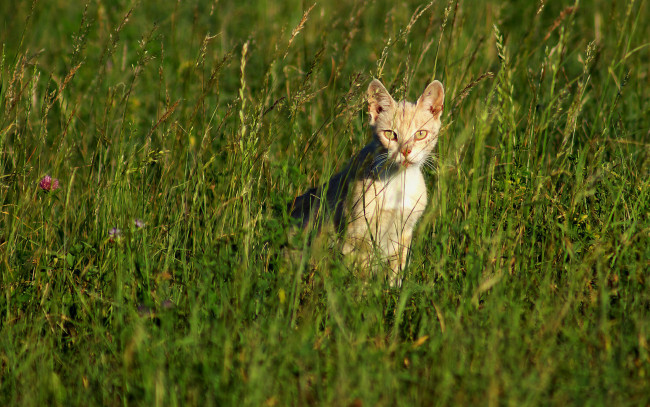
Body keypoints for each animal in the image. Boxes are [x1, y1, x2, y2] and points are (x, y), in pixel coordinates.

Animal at [290, 77, 446, 286]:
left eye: (421, 134)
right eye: (390, 134)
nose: (405, 151)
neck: (399, 181)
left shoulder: (404, 231)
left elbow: (396, 270)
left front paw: (393, 291)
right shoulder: (357, 234)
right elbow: (359, 274)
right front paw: (362, 292)